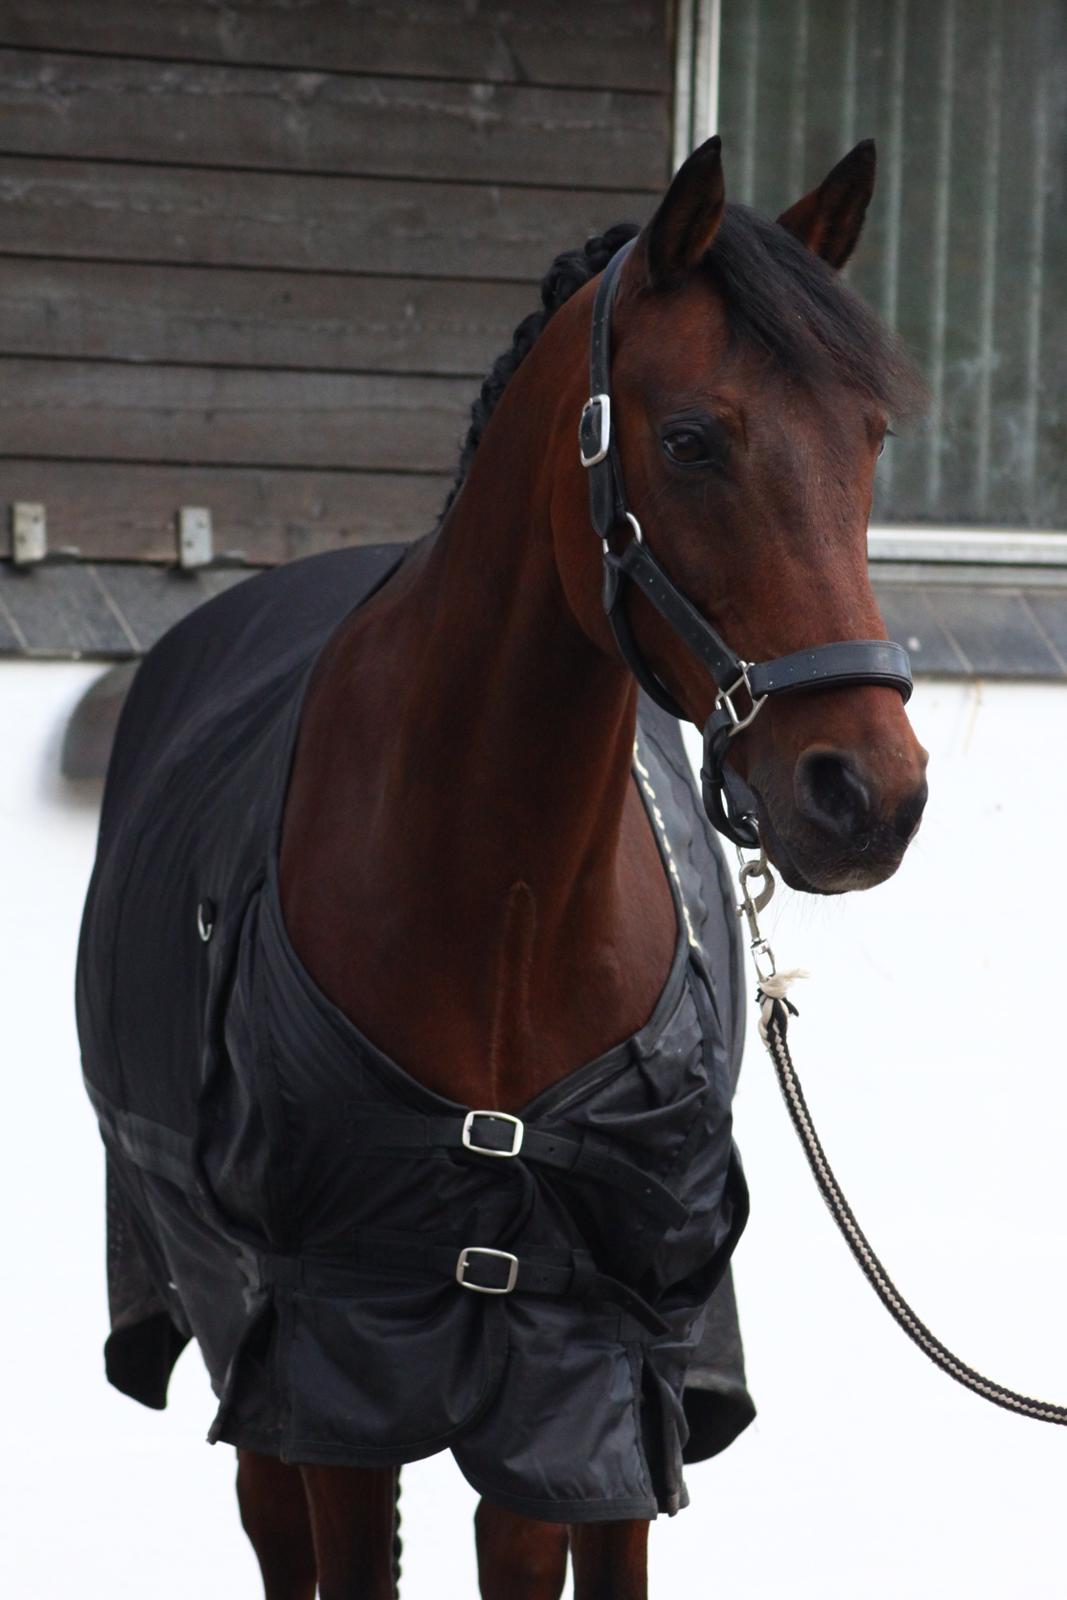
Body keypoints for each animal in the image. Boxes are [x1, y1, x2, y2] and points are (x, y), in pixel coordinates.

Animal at [77, 135, 928, 1599]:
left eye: (866, 439)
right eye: (690, 440)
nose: (865, 795)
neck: (508, 910)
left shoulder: (595, 1373)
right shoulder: (340, 1354)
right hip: (231, 1322)